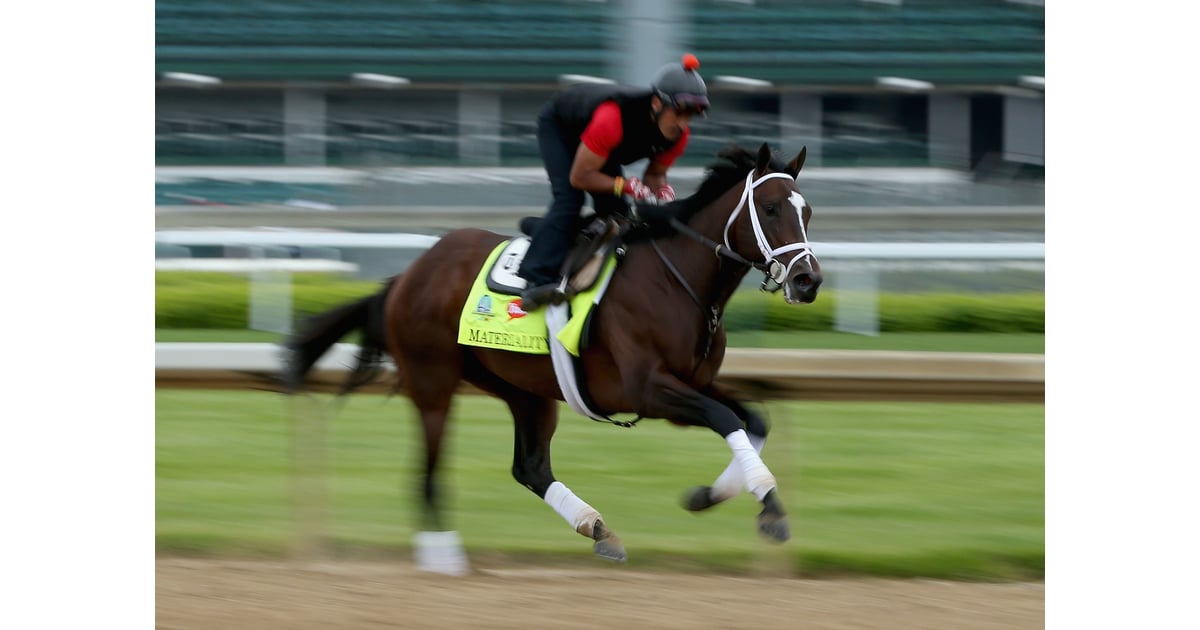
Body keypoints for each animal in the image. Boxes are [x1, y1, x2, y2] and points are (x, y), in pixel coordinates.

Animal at [285, 143, 820, 573]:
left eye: (807, 211)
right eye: (771, 207)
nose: (808, 280)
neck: (676, 281)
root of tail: (406, 275)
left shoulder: (694, 381)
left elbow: (753, 418)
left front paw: (710, 496)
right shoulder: (648, 389)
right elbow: (724, 417)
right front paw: (771, 507)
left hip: (524, 389)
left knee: (530, 468)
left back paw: (596, 527)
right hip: (433, 382)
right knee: (429, 473)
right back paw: (443, 555)